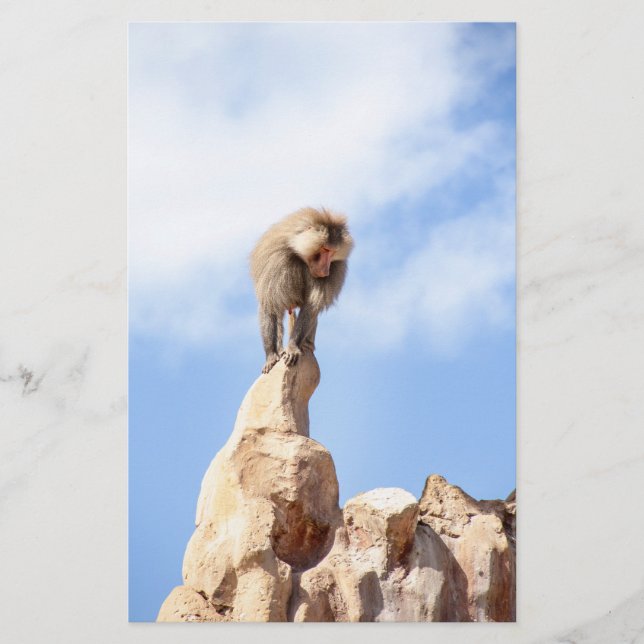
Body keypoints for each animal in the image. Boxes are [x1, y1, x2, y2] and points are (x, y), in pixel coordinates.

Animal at [250, 207, 354, 374]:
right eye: (325, 249)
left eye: (332, 252)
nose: (326, 271)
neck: (299, 254)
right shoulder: (276, 262)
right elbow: (269, 305)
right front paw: (271, 356)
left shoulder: (335, 269)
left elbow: (311, 307)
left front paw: (293, 348)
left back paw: (306, 346)